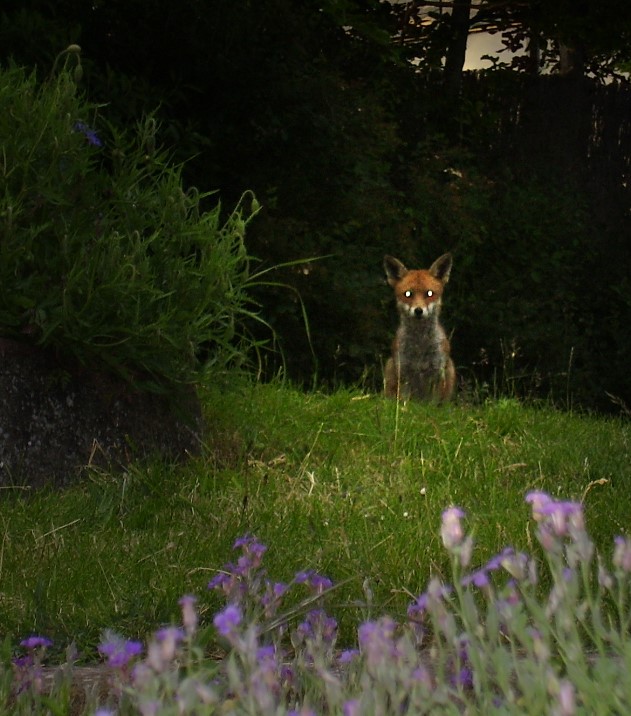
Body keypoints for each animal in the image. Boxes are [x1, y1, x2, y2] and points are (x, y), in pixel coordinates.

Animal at [386, 253, 454, 402]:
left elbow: (432, 404)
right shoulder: (404, 373)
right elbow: (405, 402)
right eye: (408, 294)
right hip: (390, 366)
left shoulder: (437, 373)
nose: (418, 311)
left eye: (429, 293)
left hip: (450, 368)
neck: (420, 347)